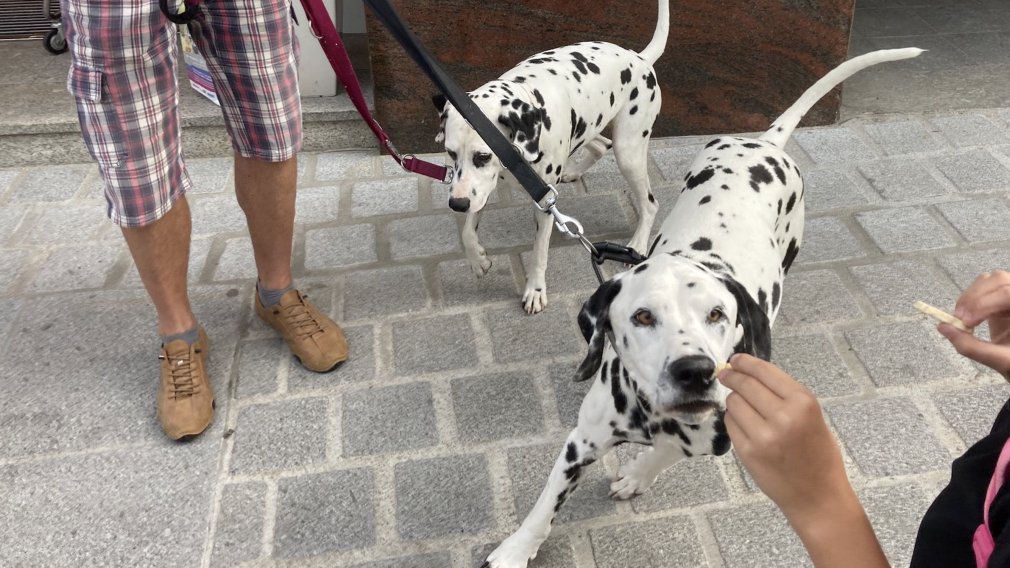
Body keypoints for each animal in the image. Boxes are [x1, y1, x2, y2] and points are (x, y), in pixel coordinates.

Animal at [432, 1, 670, 313]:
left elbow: (539, 252)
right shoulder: (477, 189)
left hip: (628, 151)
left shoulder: (544, 205)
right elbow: (467, 231)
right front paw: (477, 259)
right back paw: (574, 171)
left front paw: (535, 290)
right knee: (600, 146)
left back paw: (639, 244)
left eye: (483, 155)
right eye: (450, 153)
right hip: (590, 127)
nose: (456, 205)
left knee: (650, 203)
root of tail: (639, 58)